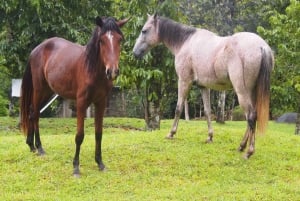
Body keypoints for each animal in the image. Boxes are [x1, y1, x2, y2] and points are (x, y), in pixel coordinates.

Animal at [19, 16, 127, 176]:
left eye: (119, 39)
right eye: (101, 41)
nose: (112, 71)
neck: (92, 70)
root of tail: (36, 49)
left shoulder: (101, 103)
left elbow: (99, 133)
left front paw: (100, 163)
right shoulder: (81, 103)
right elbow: (79, 136)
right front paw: (76, 167)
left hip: (48, 91)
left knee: (32, 113)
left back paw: (32, 146)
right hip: (39, 89)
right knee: (36, 115)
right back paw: (40, 148)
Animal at [132, 14, 274, 159]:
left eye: (144, 31)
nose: (135, 52)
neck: (185, 42)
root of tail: (262, 46)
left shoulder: (184, 81)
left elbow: (178, 108)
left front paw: (171, 133)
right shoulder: (203, 87)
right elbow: (207, 111)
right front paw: (210, 137)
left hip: (242, 92)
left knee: (250, 116)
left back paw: (249, 152)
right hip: (252, 92)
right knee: (251, 117)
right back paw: (241, 146)